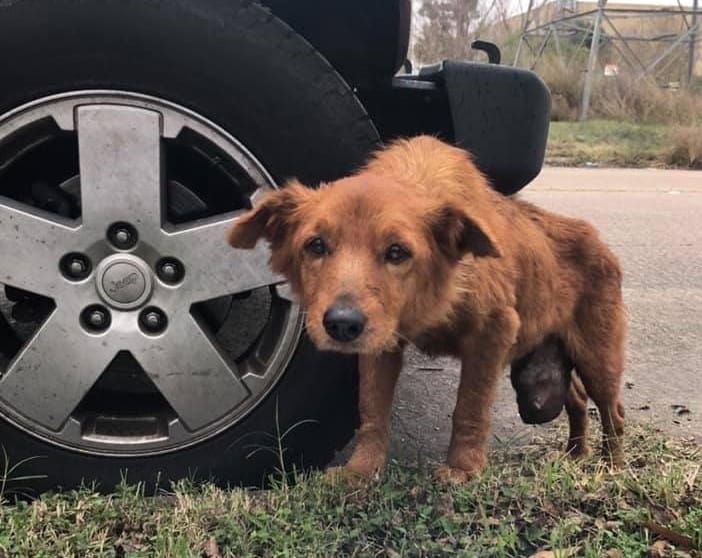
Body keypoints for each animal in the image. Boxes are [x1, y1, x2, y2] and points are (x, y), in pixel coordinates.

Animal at [230, 137, 628, 486]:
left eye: (397, 252)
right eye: (315, 245)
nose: (342, 325)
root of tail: (599, 242)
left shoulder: (493, 331)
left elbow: (470, 408)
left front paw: (462, 469)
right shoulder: (382, 342)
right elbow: (372, 407)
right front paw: (361, 470)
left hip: (597, 358)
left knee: (613, 412)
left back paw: (612, 467)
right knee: (577, 398)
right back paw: (575, 456)